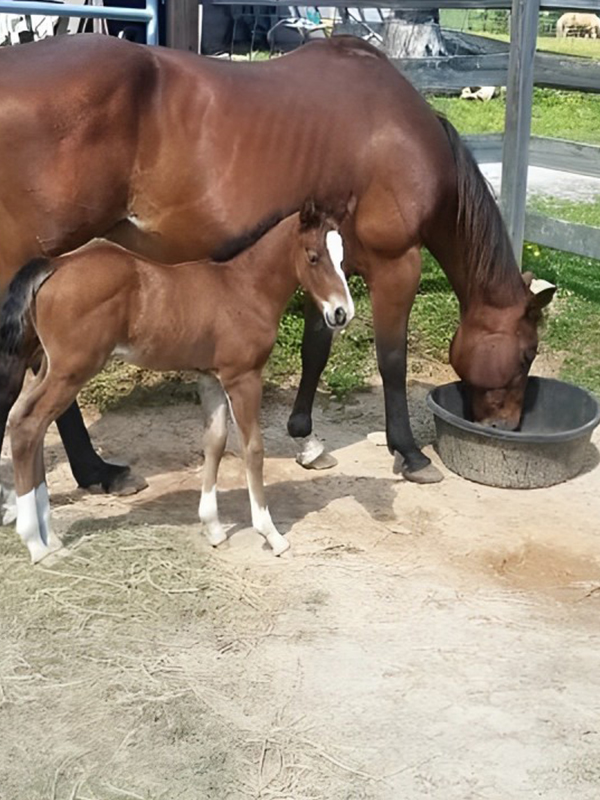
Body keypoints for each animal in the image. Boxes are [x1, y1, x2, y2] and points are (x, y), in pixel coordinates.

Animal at [0, 37, 552, 496]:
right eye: (527, 353)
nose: (505, 428)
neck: (401, 131)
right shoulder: (397, 264)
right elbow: (391, 359)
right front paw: (410, 454)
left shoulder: (328, 267)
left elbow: (316, 349)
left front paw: (306, 440)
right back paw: (91, 472)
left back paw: (94, 472)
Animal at [2, 203, 354, 564]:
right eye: (313, 256)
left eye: (342, 258)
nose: (342, 312)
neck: (243, 288)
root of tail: (54, 266)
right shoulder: (243, 377)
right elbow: (253, 448)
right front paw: (271, 534)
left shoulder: (211, 377)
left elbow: (215, 442)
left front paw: (213, 529)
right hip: (71, 370)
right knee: (28, 425)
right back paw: (36, 543)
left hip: (48, 367)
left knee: (24, 422)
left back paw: (50, 538)